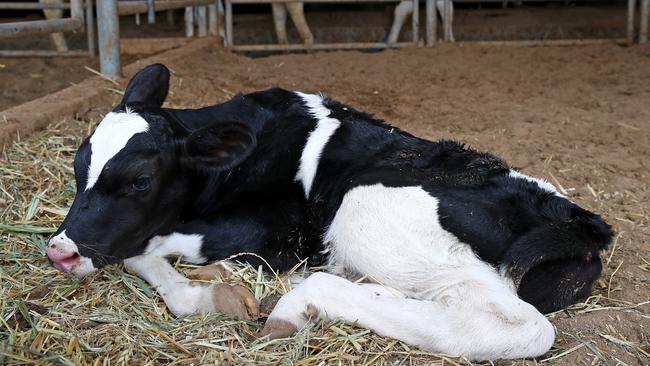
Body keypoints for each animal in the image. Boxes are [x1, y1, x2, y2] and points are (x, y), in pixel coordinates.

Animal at [45, 65, 608, 360]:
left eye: (140, 181)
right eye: (78, 163)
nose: (59, 250)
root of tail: (578, 218)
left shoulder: (274, 231)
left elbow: (141, 250)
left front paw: (211, 292)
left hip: (366, 209)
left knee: (518, 325)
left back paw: (300, 301)